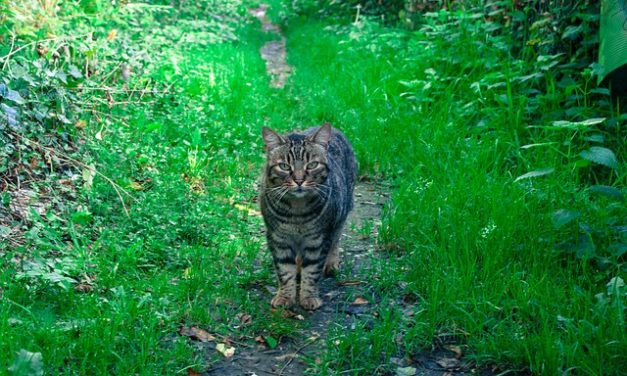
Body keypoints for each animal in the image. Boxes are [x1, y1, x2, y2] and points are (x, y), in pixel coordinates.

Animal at [260, 124, 358, 312]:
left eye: (312, 165)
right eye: (284, 166)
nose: (299, 180)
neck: (297, 212)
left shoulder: (318, 239)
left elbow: (312, 270)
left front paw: (308, 297)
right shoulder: (278, 238)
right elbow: (284, 270)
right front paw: (285, 296)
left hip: (341, 216)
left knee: (336, 240)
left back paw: (331, 264)